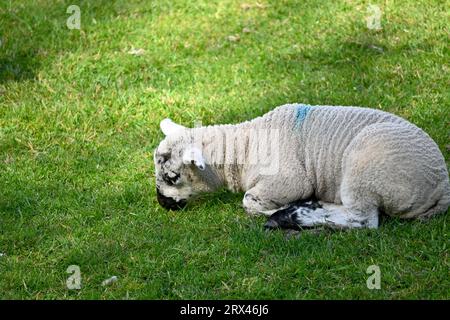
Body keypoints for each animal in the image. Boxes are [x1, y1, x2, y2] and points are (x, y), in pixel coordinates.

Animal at [154, 104, 450, 230]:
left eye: (173, 177)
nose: (162, 203)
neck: (245, 148)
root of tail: (443, 186)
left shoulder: (290, 180)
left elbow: (249, 202)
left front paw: (278, 210)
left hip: (365, 169)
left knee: (364, 220)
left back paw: (292, 216)